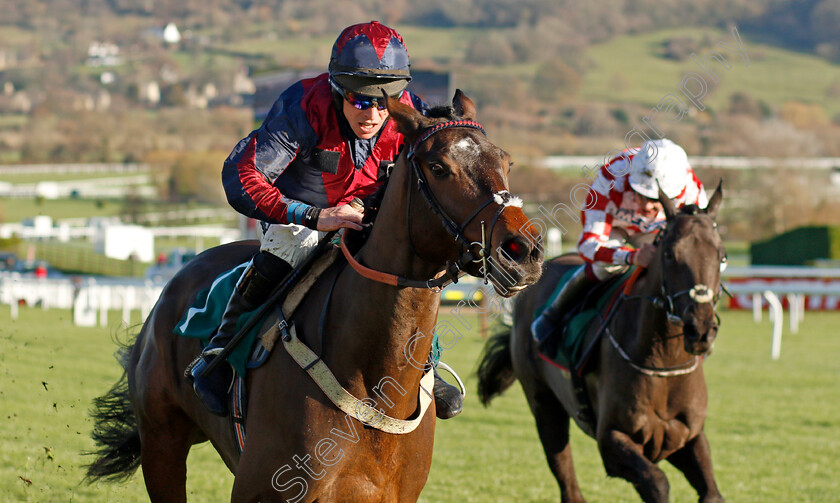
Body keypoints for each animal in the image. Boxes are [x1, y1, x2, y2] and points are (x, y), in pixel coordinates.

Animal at [83, 91, 544, 503]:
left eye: (506, 161)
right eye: (438, 167)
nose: (523, 251)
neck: (373, 384)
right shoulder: (264, 490)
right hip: (162, 444)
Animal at [480, 185, 728, 503]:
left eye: (721, 256)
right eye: (670, 255)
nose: (700, 330)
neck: (663, 361)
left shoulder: (689, 436)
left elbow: (711, 492)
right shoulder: (610, 440)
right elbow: (657, 482)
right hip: (544, 404)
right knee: (564, 472)